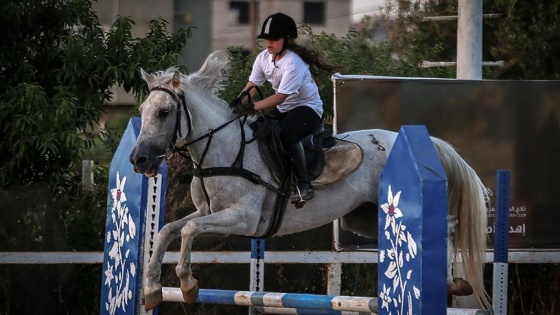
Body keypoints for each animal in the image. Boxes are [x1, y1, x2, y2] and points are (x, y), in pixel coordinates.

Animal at [129, 51, 488, 312]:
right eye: (143, 110)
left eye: (164, 112)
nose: (139, 160)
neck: (222, 149)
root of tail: (412, 139)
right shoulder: (208, 212)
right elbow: (167, 230)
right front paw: (152, 290)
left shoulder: (243, 218)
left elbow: (188, 231)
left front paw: (188, 285)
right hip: (365, 217)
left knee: (449, 223)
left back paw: (453, 282)